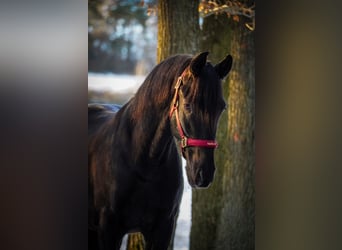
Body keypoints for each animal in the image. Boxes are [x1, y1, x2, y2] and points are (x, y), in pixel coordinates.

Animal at [88, 51, 232, 249]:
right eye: (188, 105)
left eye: (222, 107)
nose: (204, 173)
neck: (143, 162)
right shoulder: (109, 231)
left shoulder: (163, 229)